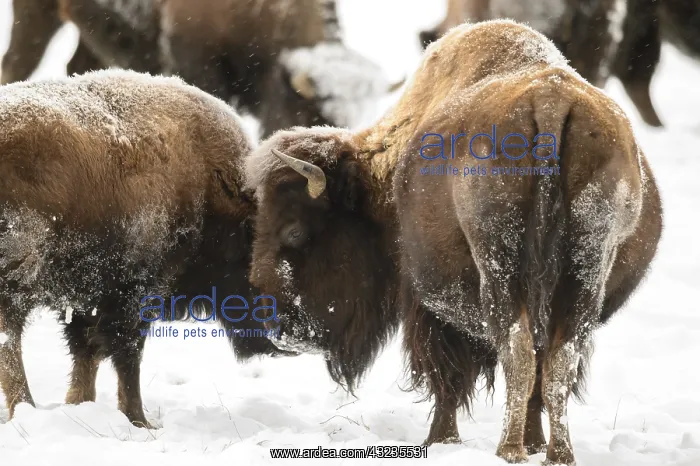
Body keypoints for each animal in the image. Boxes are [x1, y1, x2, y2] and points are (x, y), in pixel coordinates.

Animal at [0, 69, 287, 427]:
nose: (283, 340)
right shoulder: (135, 294)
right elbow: (125, 355)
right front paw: (139, 421)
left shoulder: (90, 298)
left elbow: (87, 350)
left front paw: (80, 404)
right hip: (18, 277)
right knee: (10, 341)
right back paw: (24, 408)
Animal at [245, 20, 662, 465]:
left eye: (294, 230)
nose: (279, 330)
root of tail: (550, 102)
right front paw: (532, 442)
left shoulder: (426, 306)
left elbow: (445, 377)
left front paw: (439, 440)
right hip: (586, 272)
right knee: (556, 361)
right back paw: (555, 453)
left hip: (499, 270)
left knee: (516, 350)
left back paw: (508, 449)